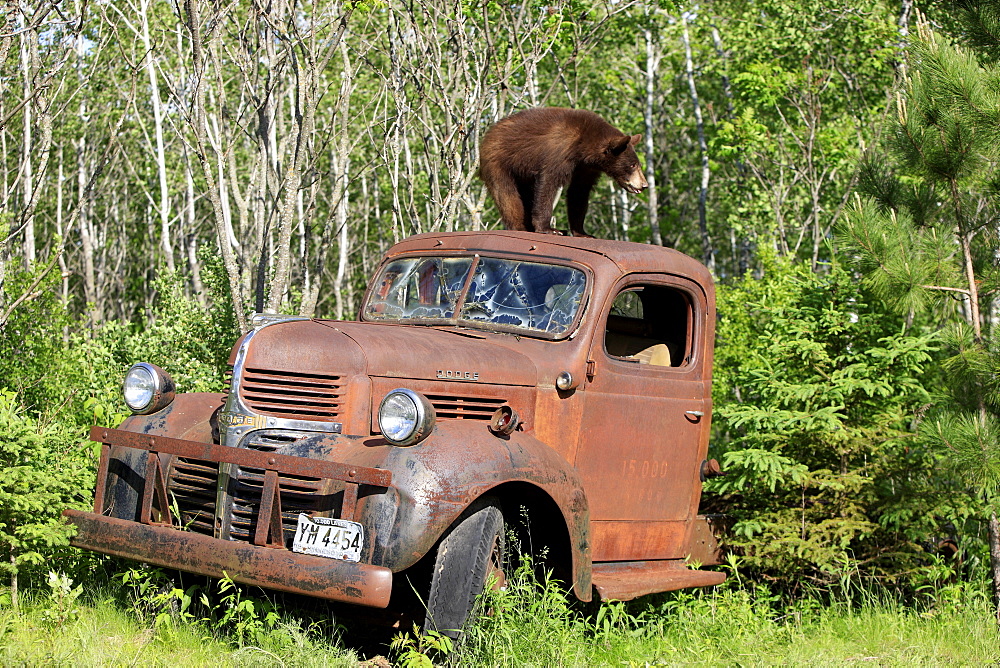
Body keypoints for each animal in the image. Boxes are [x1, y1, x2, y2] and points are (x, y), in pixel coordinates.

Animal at [478, 107, 648, 237]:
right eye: (633, 165)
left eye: (638, 164)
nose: (644, 184)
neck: (583, 145)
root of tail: (490, 131)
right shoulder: (559, 153)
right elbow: (548, 183)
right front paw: (548, 229)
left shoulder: (585, 168)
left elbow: (578, 193)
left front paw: (582, 232)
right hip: (498, 161)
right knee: (507, 195)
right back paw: (520, 226)